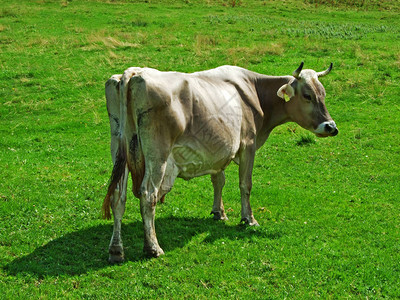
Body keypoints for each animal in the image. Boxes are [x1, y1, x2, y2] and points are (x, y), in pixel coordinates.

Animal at [103, 63, 338, 262]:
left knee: (118, 196)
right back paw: (153, 247)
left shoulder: (217, 149)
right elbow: (245, 184)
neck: (254, 91)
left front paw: (219, 212)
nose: (331, 127)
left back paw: (116, 250)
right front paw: (248, 218)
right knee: (148, 195)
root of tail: (134, 73)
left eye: (323, 94)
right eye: (307, 96)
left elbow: (218, 180)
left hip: (119, 149)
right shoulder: (248, 144)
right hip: (157, 155)